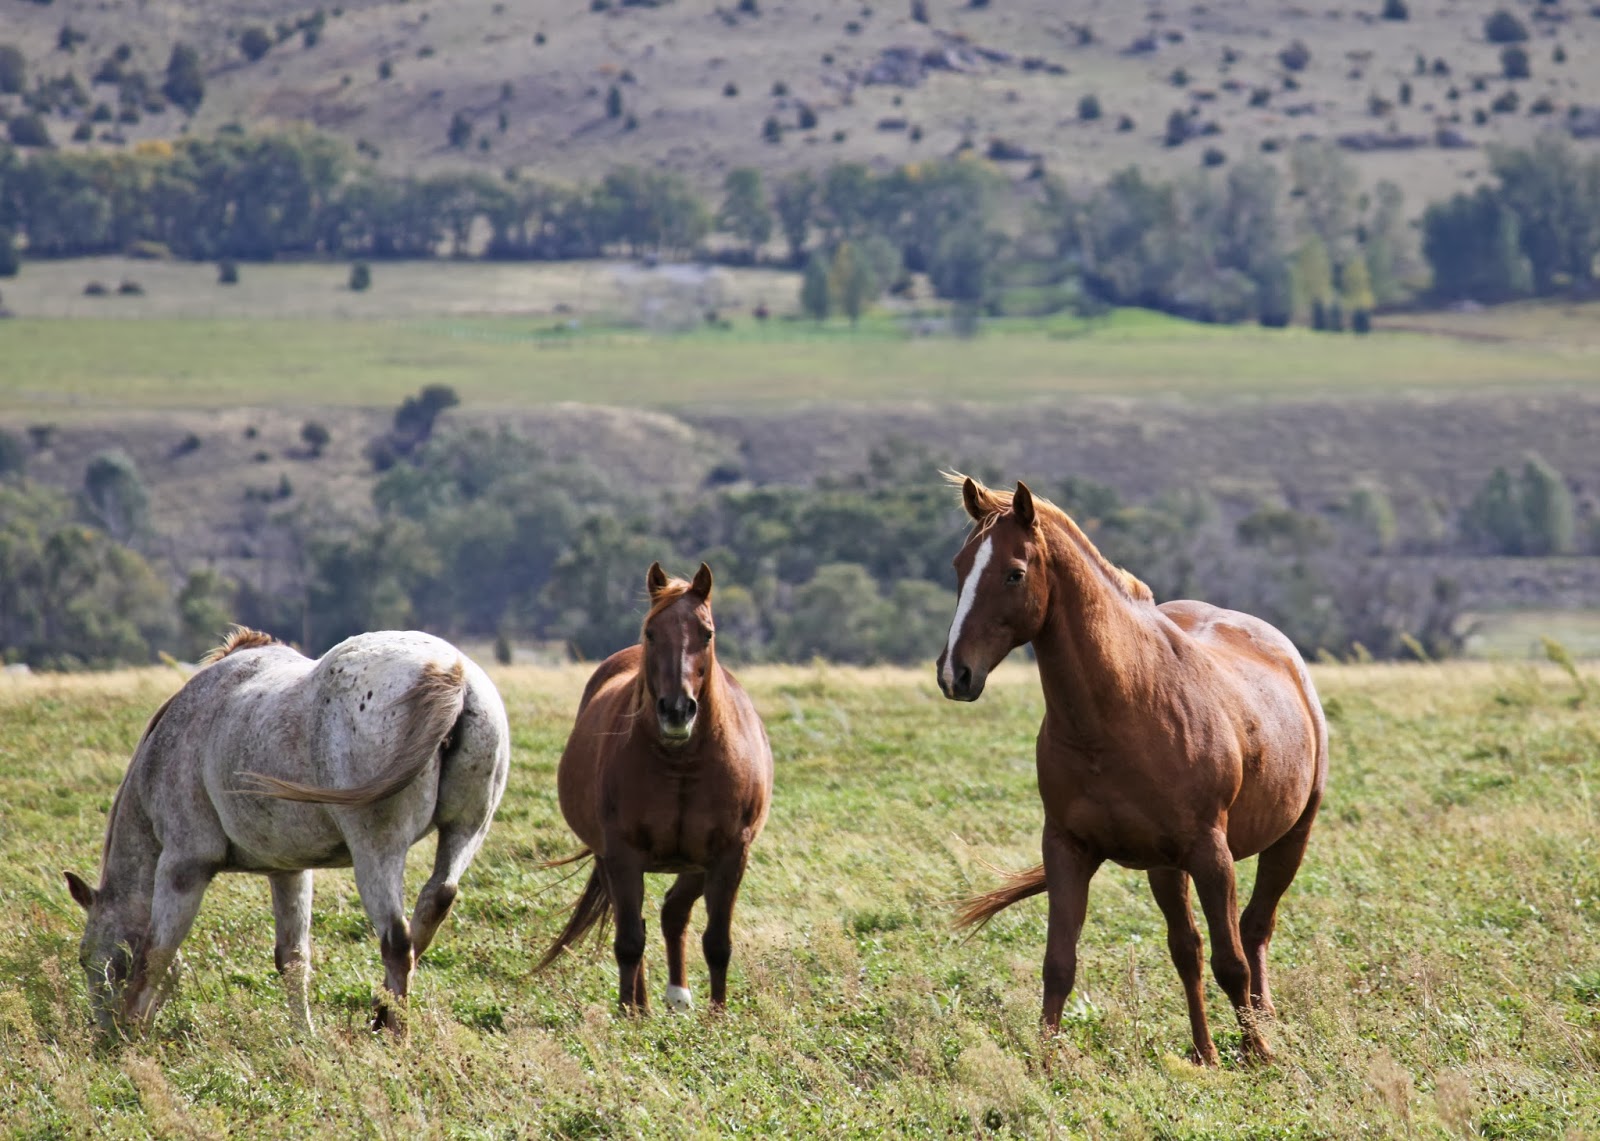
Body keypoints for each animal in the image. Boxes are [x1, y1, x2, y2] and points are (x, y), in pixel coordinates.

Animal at [64, 627, 510, 1036]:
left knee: (397, 941)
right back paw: (382, 1010)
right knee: (434, 905)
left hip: (376, 850)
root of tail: (449, 673)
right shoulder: (288, 870)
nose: (104, 1035)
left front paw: (133, 1024)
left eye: (86, 956)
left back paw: (394, 1032)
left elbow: (156, 953)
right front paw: (303, 1035)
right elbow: (293, 958)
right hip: (465, 830)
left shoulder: (183, 866)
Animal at [538, 562, 772, 1014]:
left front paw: (719, 1017)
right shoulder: (622, 855)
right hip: (614, 860)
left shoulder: (729, 855)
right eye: (651, 632)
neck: (682, 762)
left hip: (695, 865)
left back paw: (679, 996)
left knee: (673, 913)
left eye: (707, 633)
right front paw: (628, 1014)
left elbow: (717, 943)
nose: (677, 710)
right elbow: (629, 940)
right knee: (638, 923)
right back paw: (643, 1005)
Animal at [937, 476, 1327, 1065]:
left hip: (1290, 838)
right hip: (1165, 867)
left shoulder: (1212, 854)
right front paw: (1046, 1065)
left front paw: (1259, 1052)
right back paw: (1205, 1052)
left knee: (1254, 931)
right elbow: (1060, 964)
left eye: (1014, 572)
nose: (954, 673)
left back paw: (1261, 1031)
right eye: (960, 565)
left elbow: (1230, 961)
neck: (1118, 712)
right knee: (1186, 948)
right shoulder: (1068, 849)